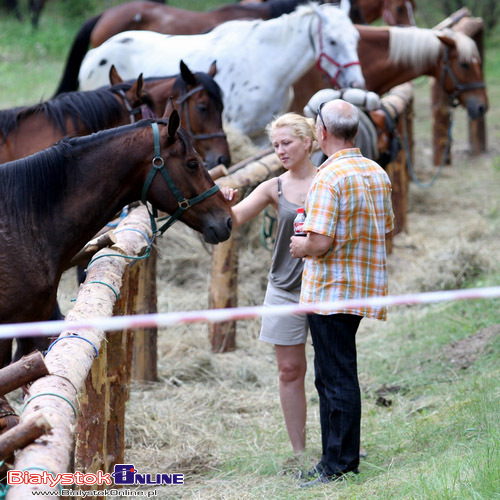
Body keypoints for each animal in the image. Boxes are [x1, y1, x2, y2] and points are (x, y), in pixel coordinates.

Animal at [79, 4, 368, 141]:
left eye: (356, 37)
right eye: (332, 41)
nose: (356, 82)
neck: (265, 64)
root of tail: (94, 55)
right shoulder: (234, 128)